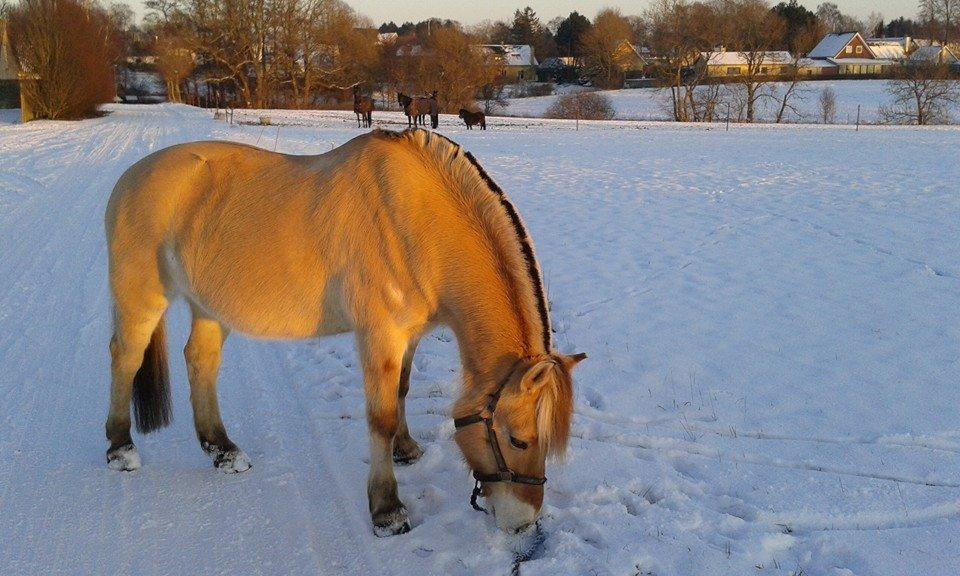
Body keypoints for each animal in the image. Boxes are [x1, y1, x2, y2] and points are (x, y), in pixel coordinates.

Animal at [105, 128, 584, 536]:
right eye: (518, 439)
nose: (522, 523)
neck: (415, 222)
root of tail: (132, 175)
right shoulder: (379, 335)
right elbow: (380, 416)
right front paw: (387, 511)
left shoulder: (410, 334)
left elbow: (401, 390)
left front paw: (405, 449)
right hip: (143, 296)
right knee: (125, 356)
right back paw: (120, 449)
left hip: (209, 305)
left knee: (200, 361)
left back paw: (222, 450)